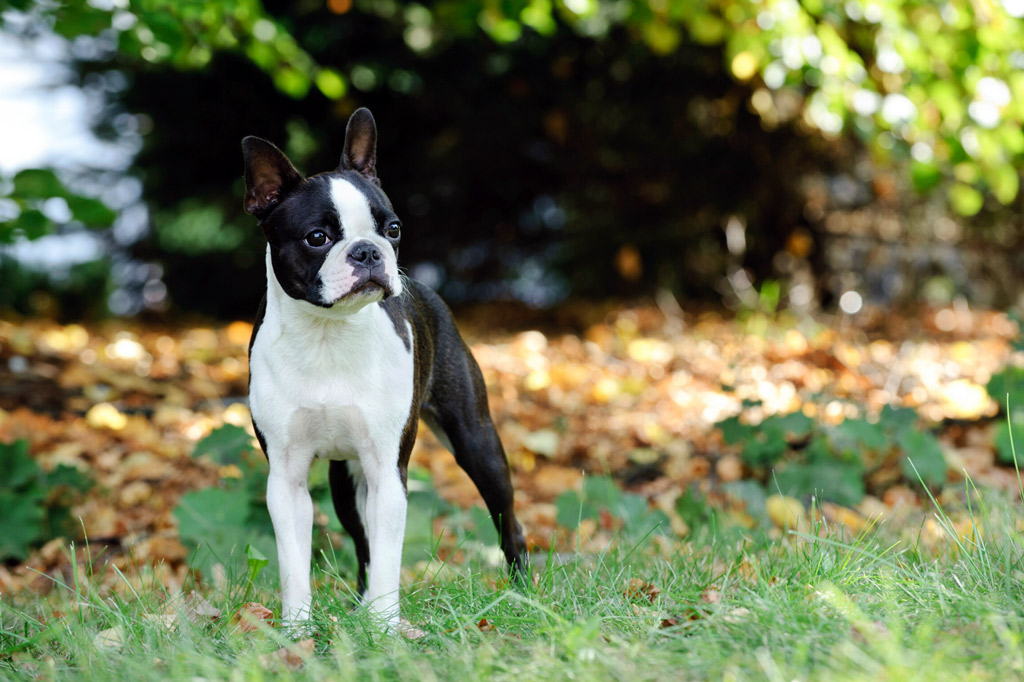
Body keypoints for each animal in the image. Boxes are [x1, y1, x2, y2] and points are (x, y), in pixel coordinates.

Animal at [240, 109, 528, 630]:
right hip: (345, 479)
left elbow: (390, 556)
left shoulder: (387, 471)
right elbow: (295, 562)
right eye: (317, 238)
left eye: (393, 229)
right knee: (361, 544)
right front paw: (297, 630)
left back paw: (523, 594)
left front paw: (385, 627)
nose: (369, 251)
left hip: (477, 441)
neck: (328, 335)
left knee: (508, 522)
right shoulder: (286, 479)